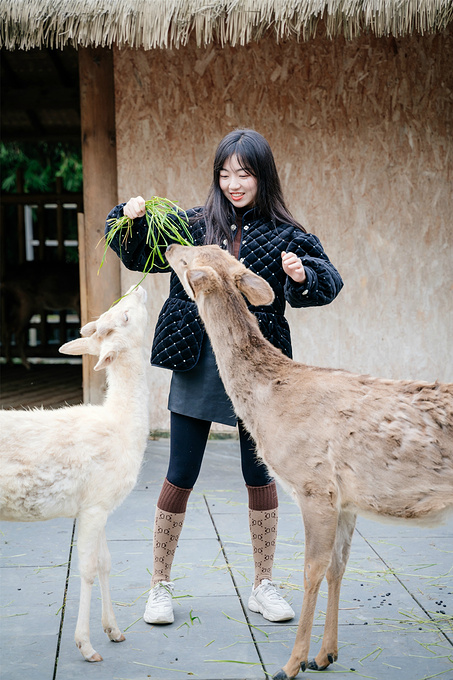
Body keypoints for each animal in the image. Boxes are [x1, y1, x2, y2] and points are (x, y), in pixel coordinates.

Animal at [165, 244, 452, 680]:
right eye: (209, 248)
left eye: (188, 260)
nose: (168, 245)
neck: (271, 400)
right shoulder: (346, 499)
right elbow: (337, 566)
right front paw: (325, 655)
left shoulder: (314, 484)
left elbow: (310, 570)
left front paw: (291, 663)